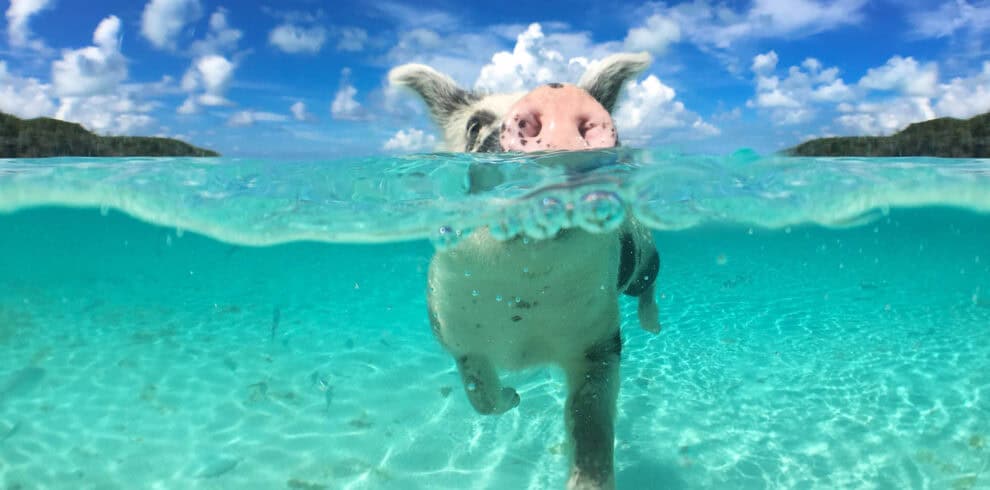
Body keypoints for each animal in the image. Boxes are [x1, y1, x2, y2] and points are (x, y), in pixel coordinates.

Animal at [389, 52, 661, 490]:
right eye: (474, 125)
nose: (557, 98)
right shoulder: (453, 327)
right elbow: (479, 393)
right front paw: (514, 397)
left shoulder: (600, 340)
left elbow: (590, 416)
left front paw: (587, 481)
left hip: (643, 255)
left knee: (647, 285)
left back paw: (653, 325)